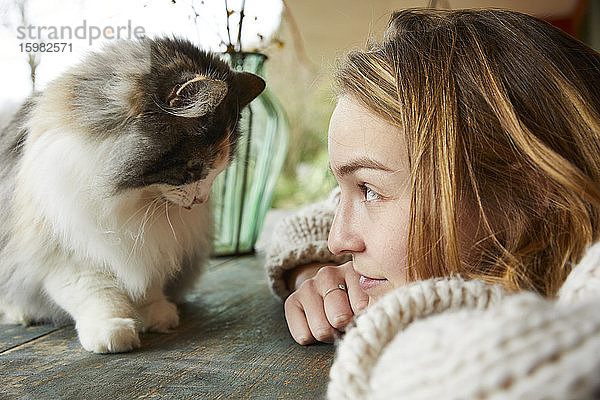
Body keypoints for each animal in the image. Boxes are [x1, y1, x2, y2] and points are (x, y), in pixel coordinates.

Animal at [0, 36, 264, 354]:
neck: (129, 199)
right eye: (194, 167)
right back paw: (21, 313)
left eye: (220, 170)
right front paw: (113, 332)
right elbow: (97, 293)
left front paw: (158, 316)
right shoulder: (65, 254)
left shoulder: (152, 242)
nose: (200, 199)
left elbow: (149, 283)